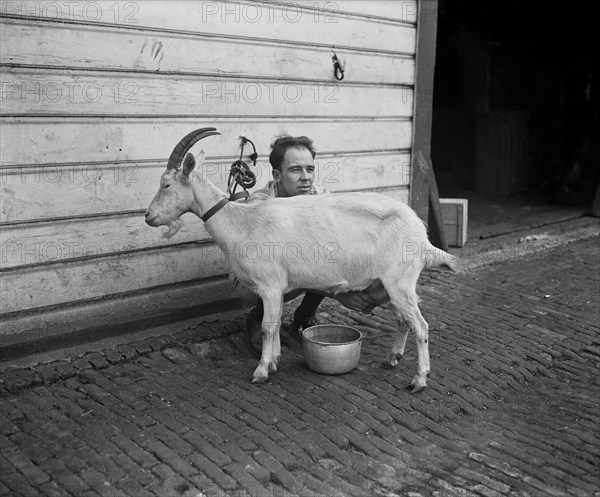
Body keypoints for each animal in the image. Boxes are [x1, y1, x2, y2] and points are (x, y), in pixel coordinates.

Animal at [146, 126, 460, 390]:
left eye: (166, 185)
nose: (149, 217)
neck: (242, 222)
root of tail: (422, 234)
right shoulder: (272, 289)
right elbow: (271, 325)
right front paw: (273, 362)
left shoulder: (270, 284)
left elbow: (267, 327)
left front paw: (261, 371)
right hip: (390, 285)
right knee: (403, 320)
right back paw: (391, 359)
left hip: (400, 281)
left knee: (420, 325)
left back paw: (419, 380)